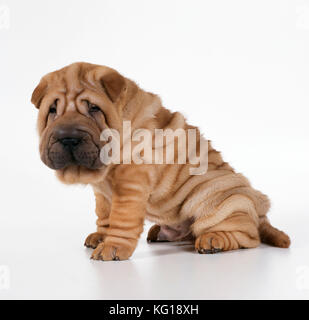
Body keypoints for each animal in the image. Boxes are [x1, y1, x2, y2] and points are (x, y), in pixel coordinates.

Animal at [31, 62, 288, 260]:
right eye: (52, 110)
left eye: (94, 109)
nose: (68, 138)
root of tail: (260, 210)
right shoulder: (102, 191)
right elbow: (104, 214)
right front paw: (100, 236)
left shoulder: (130, 183)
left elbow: (122, 219)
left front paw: (112, 248)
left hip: (214, 197)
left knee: (247, 235)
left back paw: (212, 240)